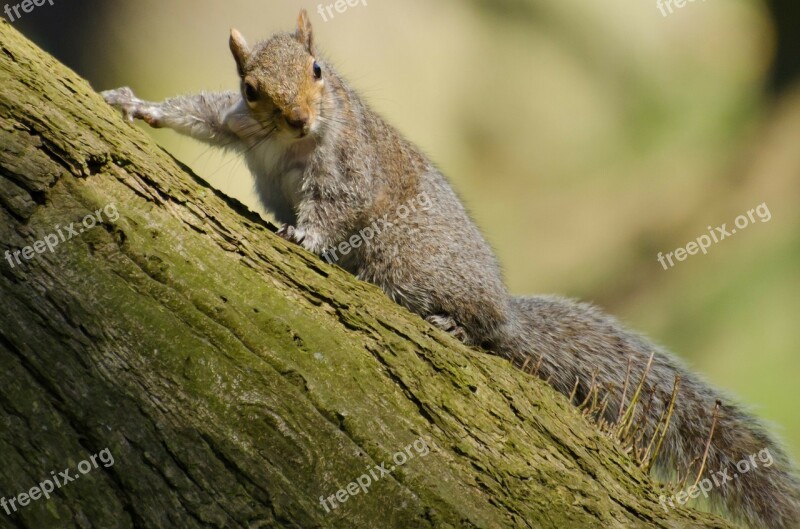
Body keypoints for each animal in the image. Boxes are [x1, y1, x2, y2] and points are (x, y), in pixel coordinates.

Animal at [101, 9, 800, 528]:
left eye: (319, 69)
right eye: (252, 88)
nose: (299, 118)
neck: (291, 140)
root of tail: (505, 307)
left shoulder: (349, 168)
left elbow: (338, 208)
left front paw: (303, 232)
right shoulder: (240, 123)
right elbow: (201, 113)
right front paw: (138, 105)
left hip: (412, 265)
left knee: (485, 330)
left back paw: (461, 326)